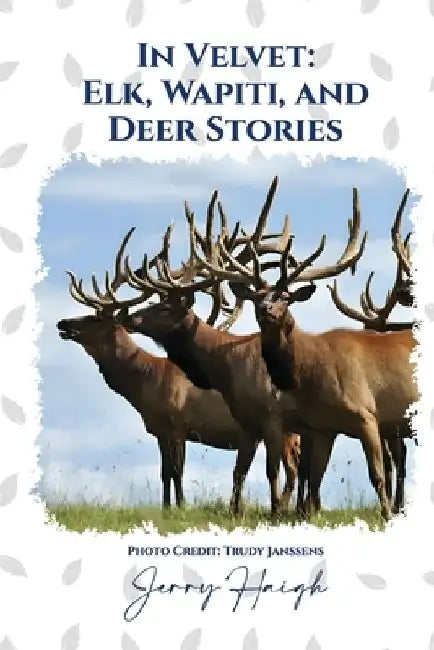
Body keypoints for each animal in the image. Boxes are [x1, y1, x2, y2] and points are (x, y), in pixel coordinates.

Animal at [56, 229, 301, 511]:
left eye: (94, 318)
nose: (63, 323)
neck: (147, 380)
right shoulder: (160, 431)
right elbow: (164, 472)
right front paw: (166, 507)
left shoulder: (178, 424)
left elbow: (177, 471)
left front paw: (181, 506)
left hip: (285, 428)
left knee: (291, 468)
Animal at [118, 178, 365, 516]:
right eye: (157, 301)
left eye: (166, 307)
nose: (129, 316)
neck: (228, 367)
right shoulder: (247, 424)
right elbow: (240, 470)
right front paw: (236, 511)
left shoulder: (273, 417)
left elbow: (271, 470)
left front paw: (274, 511)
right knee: (312, 469)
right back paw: (308, 509)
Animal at [194, 180, 418, 521]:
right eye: (257, 295)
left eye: (286, 297)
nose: (266, 309)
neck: (312, 370)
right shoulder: (322, 426)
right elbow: (314, 479)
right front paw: (309, 514)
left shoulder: (367, 412)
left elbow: (377, 474)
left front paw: (387, 515)